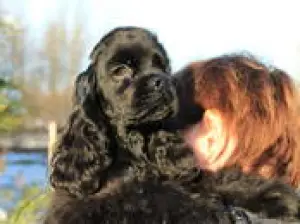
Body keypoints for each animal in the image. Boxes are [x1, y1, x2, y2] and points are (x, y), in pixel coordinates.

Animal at [46, 27, 300, 223]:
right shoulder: (111, 201)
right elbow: (166, 200)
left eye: (162, 66)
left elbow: (218, 179)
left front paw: (276, 195)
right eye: (120, 70)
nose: (161, 81)